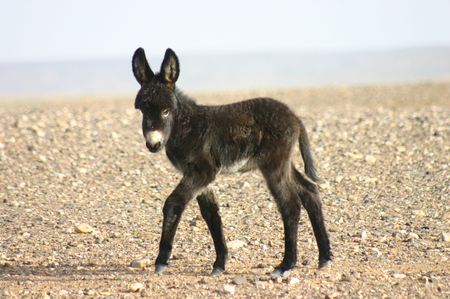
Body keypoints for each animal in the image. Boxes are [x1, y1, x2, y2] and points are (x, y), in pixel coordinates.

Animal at [130, 48, 330, 278]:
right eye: (143, 110)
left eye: (166, 111)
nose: (153, 144)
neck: (187, 126)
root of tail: (294, 117)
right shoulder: (199, 175)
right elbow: (211, 215)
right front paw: (220, 263)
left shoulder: (203, 172)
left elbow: (173, 203)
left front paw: (161, 260)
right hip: (284, 163)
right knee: (310, 191)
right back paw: (325, 257)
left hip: (273, 164)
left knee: (290, 204)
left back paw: (285, 264)